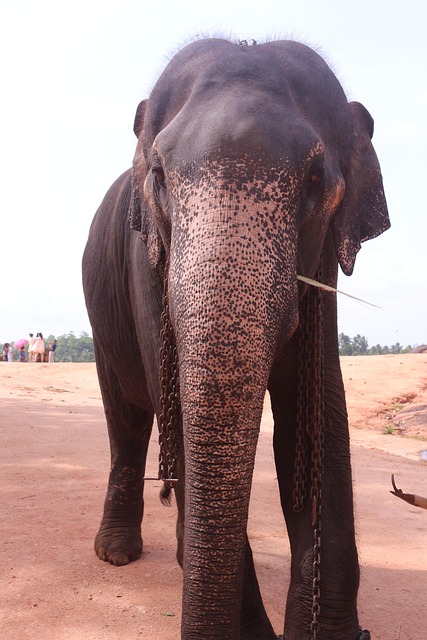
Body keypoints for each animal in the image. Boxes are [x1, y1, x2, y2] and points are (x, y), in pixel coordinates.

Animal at [82, 38, 390, 640]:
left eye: (315, 180)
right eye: (159, 175)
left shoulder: (322, 262)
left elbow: (315, 414)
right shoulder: (145, 265)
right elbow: (174, 406)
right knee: (125, 418)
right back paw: (116, 554)